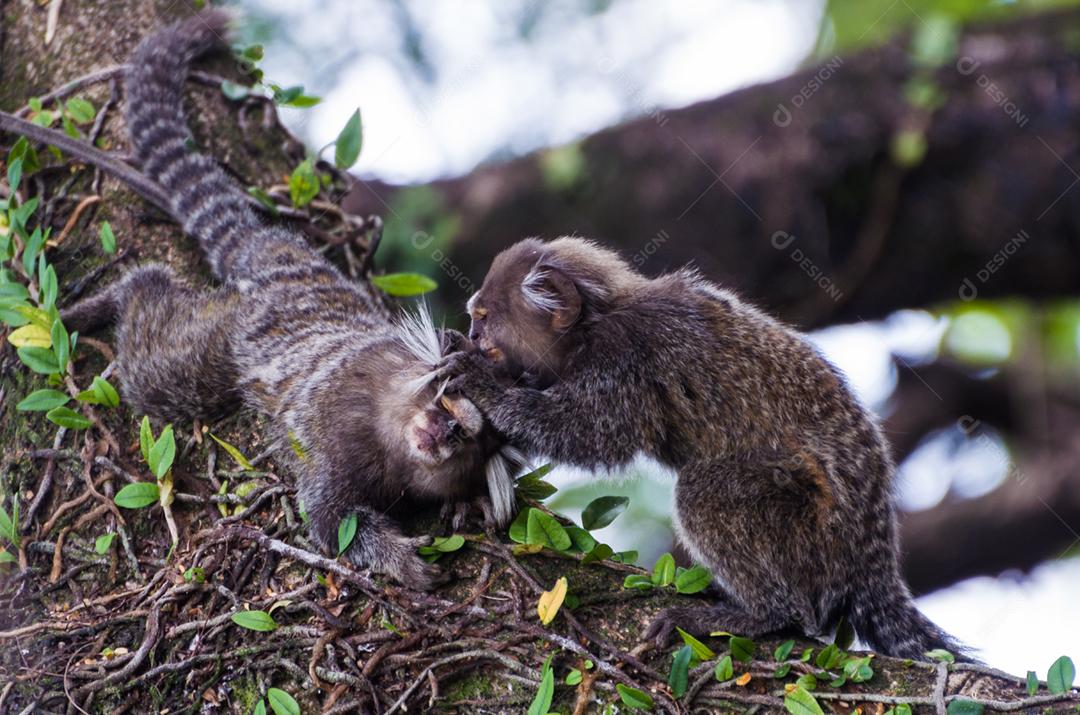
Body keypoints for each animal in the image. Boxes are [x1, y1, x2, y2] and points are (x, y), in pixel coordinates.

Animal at [60, 11, 521, 590]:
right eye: (447, 405)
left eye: (463, 437)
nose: (441, 433)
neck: (391, 435)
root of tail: (286, 263)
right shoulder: (338, 431)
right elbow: (329, 520)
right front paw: (401, 561)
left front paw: (461, 507)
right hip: (230, 333)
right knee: (163, 369)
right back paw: (125, 292)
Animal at [439, 236, 968, 659]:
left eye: (484, 320)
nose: (474, 335)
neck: (592, 327)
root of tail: (871, 553)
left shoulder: (624, 359)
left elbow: (591, 435)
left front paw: (484, 384)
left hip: (815, 530)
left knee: (706, 492)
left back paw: (764, 615)